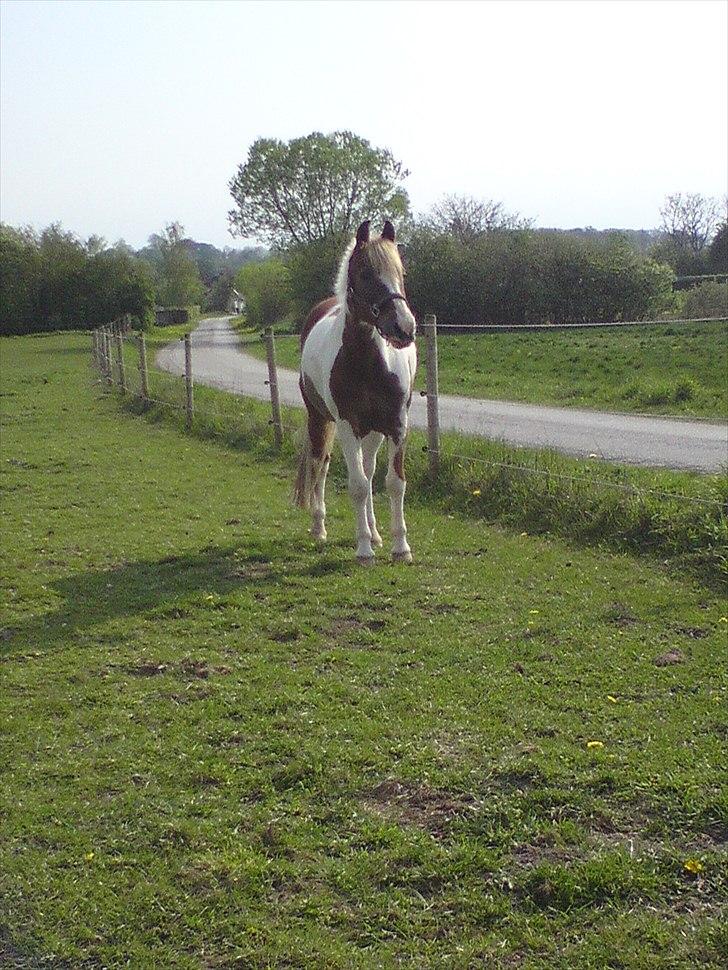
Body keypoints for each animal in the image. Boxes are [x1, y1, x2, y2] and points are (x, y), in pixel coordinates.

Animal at [294, 218, 418, 560]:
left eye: (401, 273)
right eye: (365, 273)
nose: (404, 327)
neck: (369, 365)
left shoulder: (397, 425)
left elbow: (394, 483)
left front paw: (400, 547)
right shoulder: (348, 426)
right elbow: (358, 486)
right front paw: (363, 550)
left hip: (373, 431)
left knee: (370, 469)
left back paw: (375, 533)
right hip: (320, 420)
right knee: (320, 464)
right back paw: (320, 527)